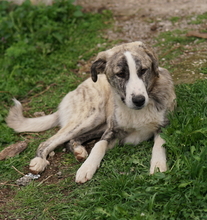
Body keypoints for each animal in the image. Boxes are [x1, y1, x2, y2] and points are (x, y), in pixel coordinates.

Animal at [6, 41, 176, 182]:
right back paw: (40, 161)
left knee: (72, 140)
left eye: (143, 70)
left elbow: (159, 144)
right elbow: (98, 146)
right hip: (91, 116)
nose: (139, 100)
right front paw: (86, 168)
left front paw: (158, 166)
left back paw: (79, 150)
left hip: (97, 122)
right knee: (48, 141)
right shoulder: (111, 131)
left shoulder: (165, 126)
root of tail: (75, 90)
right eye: (120, 74)